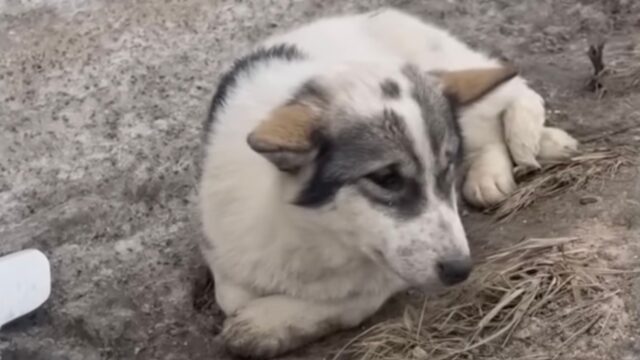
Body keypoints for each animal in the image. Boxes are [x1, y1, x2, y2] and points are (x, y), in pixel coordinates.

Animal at [200, 7, 580, 358]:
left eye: (447, 168)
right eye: (386, 178)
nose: (461, 271)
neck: (319, 235)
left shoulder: (388, 270)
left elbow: (357, 297)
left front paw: (268, 322)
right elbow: (231, 296)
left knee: (513, 98)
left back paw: (513, 158)